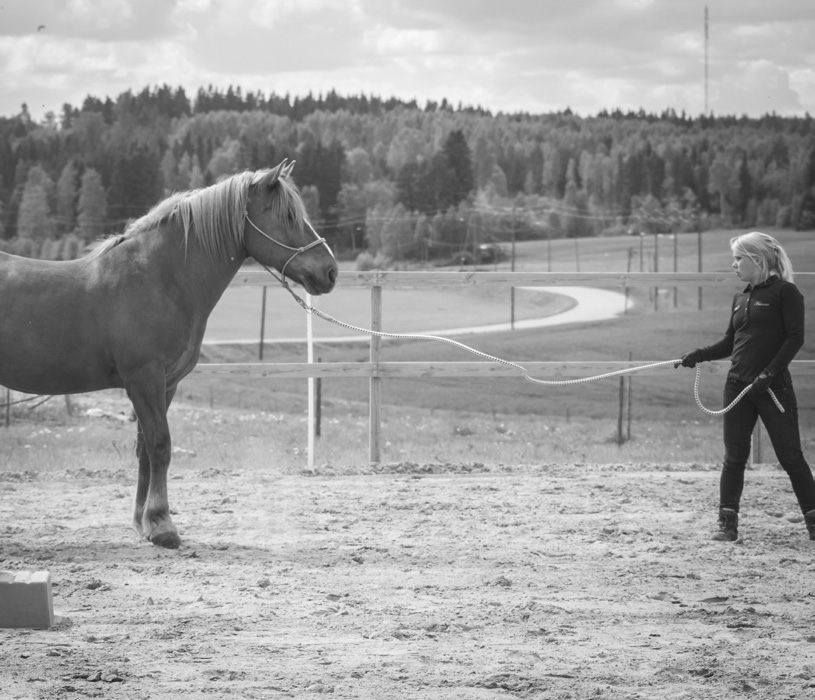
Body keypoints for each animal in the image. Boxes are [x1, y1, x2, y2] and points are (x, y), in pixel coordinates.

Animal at [0, 161, 338, 548]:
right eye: (288, 215)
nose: (330, 271)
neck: (160, 280)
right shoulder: (144, 380)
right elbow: (161, 444)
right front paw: (163, 526)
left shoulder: (165, 384)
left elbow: (145, 450)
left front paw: (143, 523)